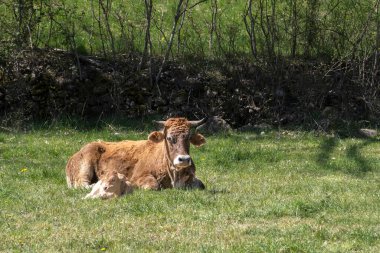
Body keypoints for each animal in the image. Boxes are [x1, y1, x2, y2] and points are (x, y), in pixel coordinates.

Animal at [67, 118, 206, 190]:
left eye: (188, 138)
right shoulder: (139, 176)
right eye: (169, 138)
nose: (184, 159)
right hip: (84, 167)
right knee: (82, 184)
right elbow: (153, 185)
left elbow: (201, 185)